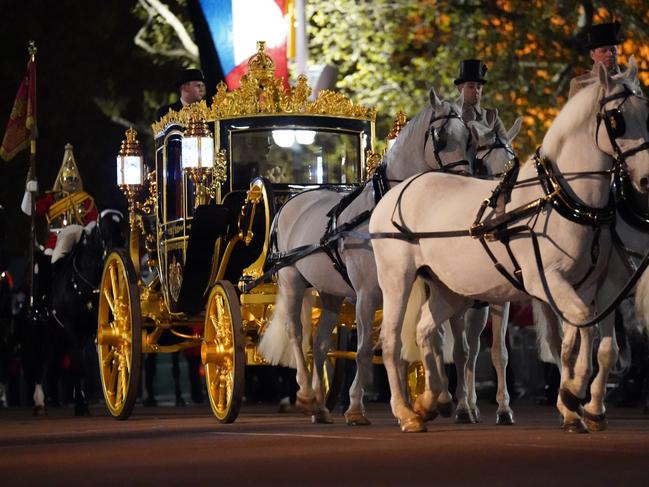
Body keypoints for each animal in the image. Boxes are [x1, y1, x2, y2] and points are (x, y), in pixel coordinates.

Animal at [50, 210, 125, 416]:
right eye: (102, 228)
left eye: (123, 226)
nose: (118, 250)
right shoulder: (72, 330)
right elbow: (78, 366)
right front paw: (81, 404)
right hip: (56, 336)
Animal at [372, 62, 648, 434]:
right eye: (617, 118)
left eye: (646, 113)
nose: (646, 179)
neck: (560, 198)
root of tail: (400, 189)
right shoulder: (546, 282)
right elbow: (578, 328)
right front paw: (573, 392)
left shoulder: (594, 286)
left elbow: (590, 340)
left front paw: (580, 405)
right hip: (396, 281)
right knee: (393, 341)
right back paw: (405, 411)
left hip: (449, 289)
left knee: (428, 331)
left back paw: (433, 400)